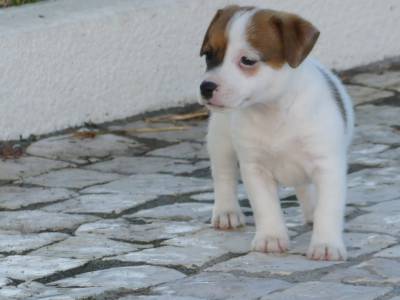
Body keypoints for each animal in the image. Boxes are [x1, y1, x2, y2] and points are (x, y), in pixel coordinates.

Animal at [199, 5, 354, 262]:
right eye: (209, 55)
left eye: (247, 60)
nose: (206, 87)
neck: (273, 110)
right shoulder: (255, 169)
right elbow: (266, 206)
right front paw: (271, 237)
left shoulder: (327, 166)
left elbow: (328, 209)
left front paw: (326, 244)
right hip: (220, 141)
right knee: (224, 176)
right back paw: (226, 211)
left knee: (305, 188)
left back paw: (311, 211)